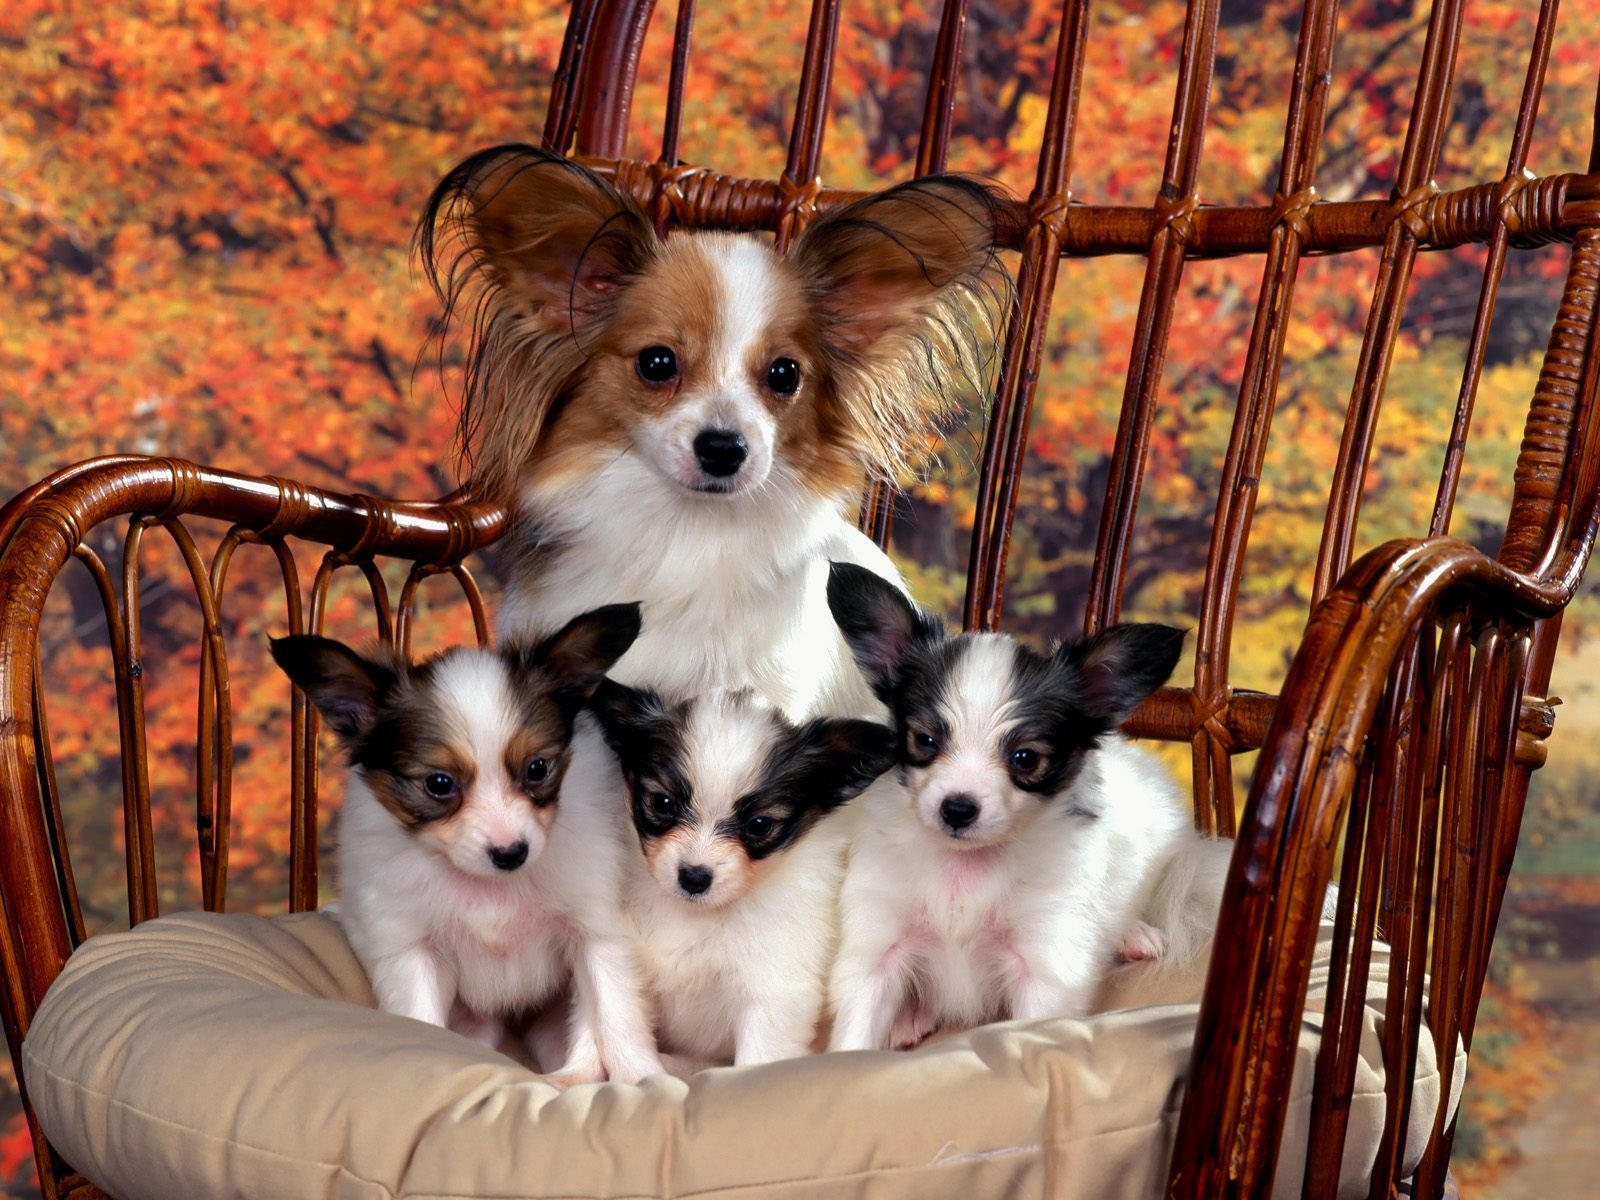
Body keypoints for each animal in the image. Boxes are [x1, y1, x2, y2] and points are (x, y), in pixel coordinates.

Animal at [272, 604, 659, 1088]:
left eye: (537, 768)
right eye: (439, 784)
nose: (511, 853)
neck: (489, 888)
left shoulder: (596, 933)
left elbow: (615, 1013)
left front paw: (644, 1081)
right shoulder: (411, 951)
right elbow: (421, 1019)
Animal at [588, 684, 896, 1068]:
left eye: (759, 825)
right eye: (662, 803)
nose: (693, 877)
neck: (696, 915)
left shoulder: (773, 994)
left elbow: (756, 1061)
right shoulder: (617, 961)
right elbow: (613, 1025)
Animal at [825, 563, 1209, 1049]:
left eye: (1025, 758)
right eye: (924, 740)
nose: (957, 808)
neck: (965, 869)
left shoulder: (1045, 961)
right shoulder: (877, 946)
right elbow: (854, 1034)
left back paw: (1131, 933)